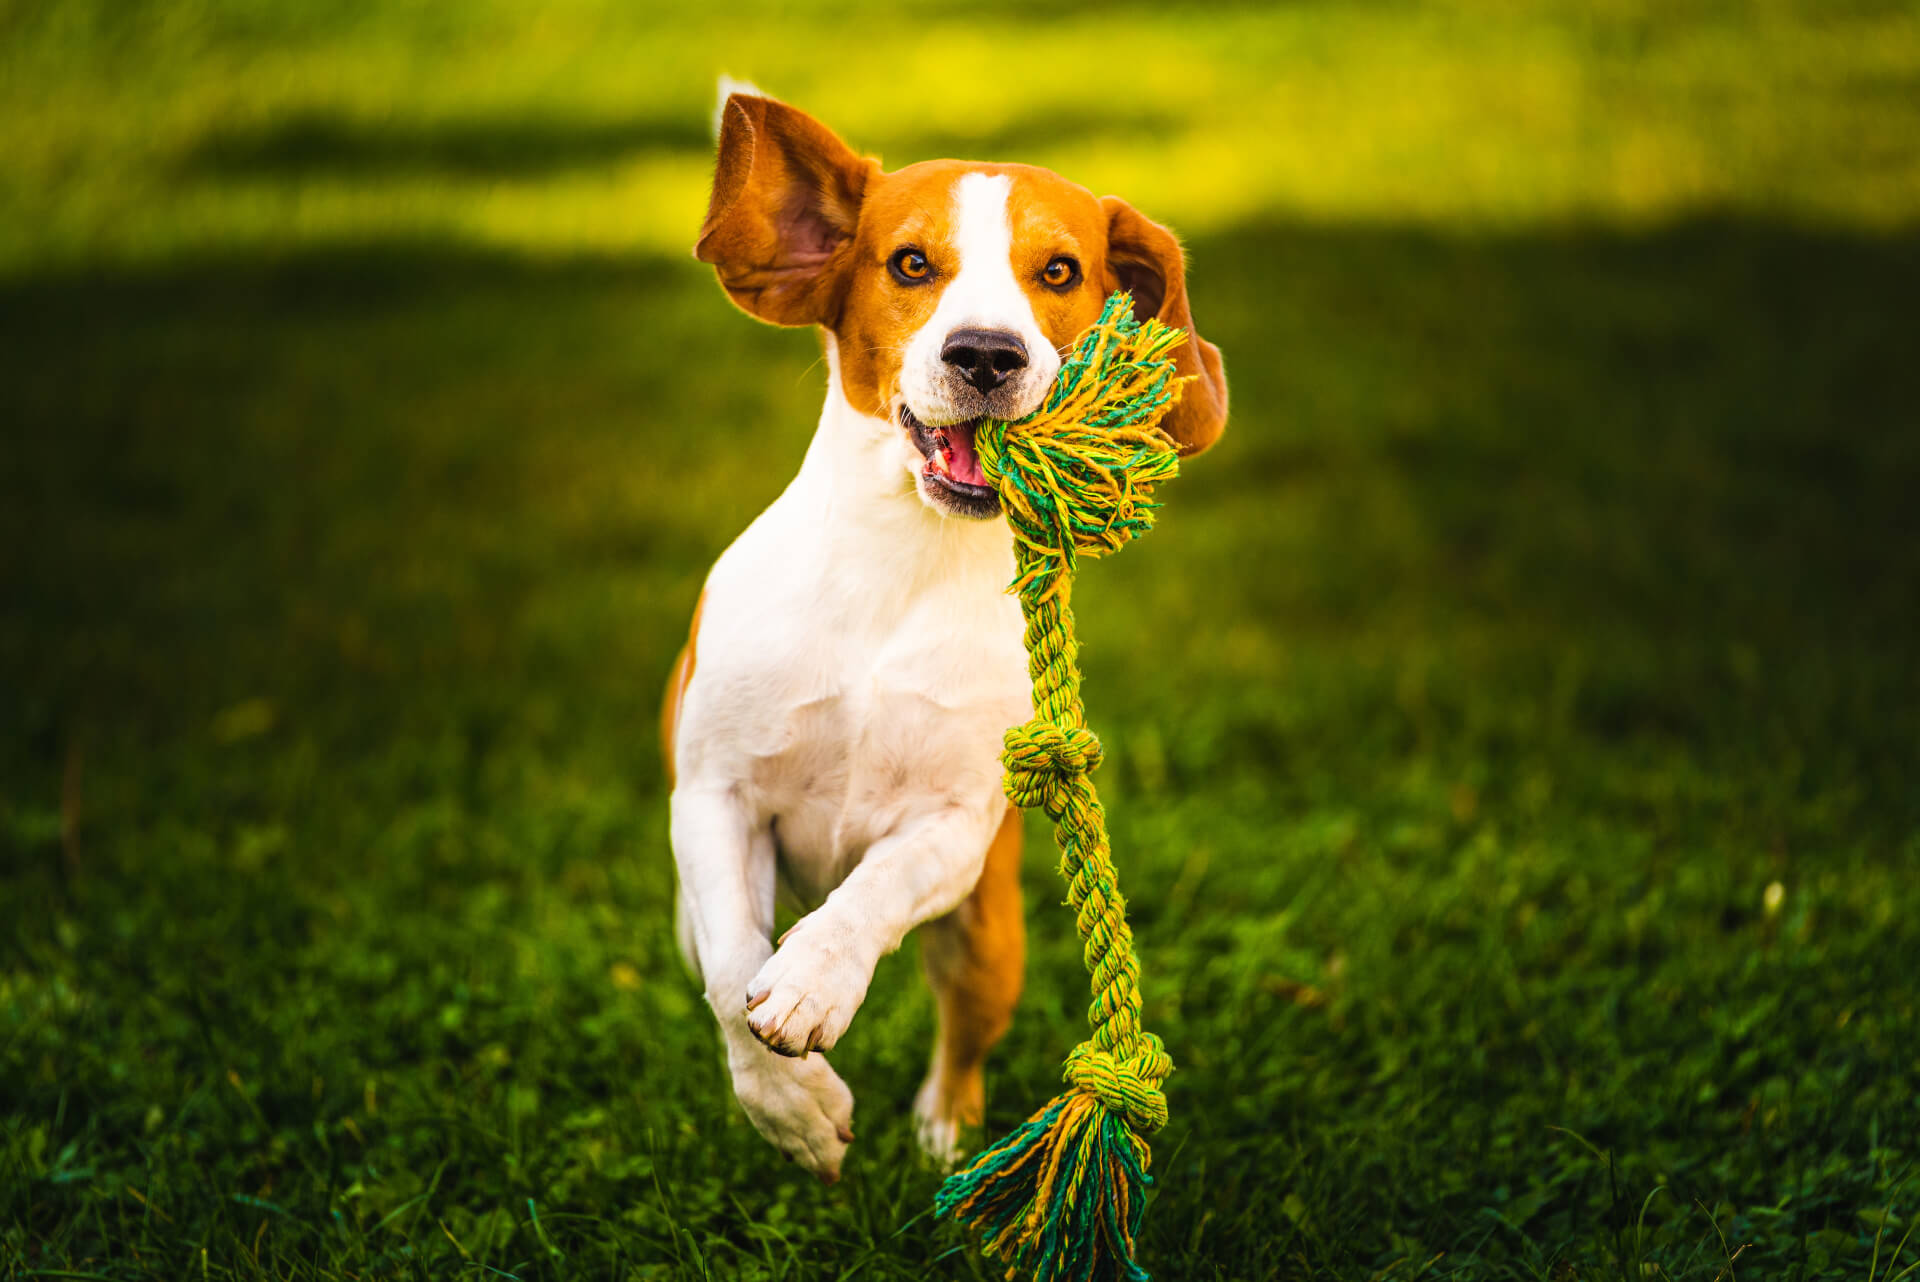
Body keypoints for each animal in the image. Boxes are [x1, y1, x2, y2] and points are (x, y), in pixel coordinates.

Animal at [660, 87, 1228, 1182]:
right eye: (912, 263)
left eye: (1060, 271)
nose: (985, 354)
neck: (898, 566)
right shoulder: (714, 796)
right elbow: (729, 967)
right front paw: (794, 1109)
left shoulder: (955, 826)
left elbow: (872, 890)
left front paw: (815, 979)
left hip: (988, 941)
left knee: (962, 1035)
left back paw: (946, 1127)